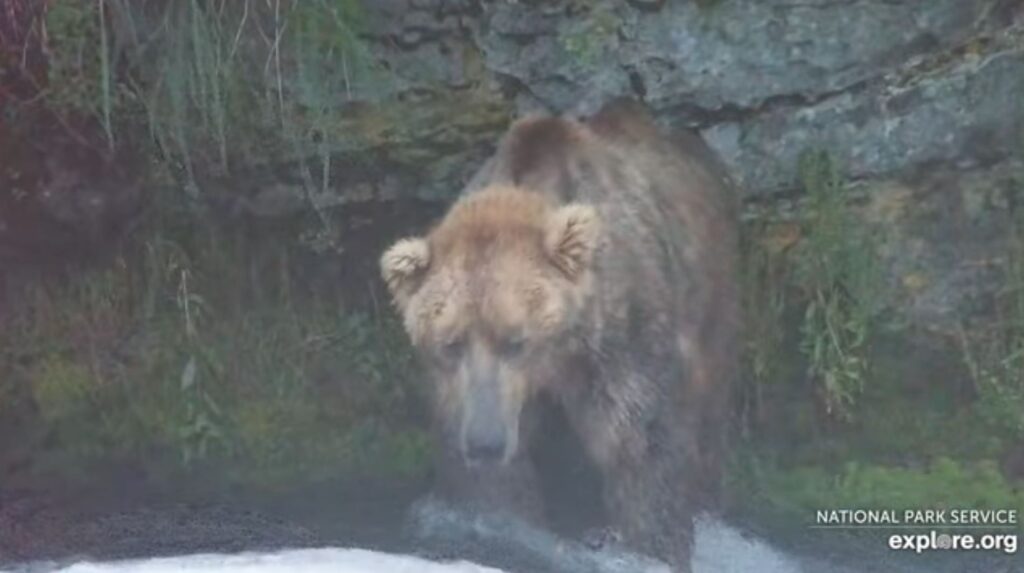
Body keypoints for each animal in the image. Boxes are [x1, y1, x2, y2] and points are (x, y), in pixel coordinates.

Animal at [378, 96, 737, 568]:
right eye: (451, 342)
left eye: (516, 340)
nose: (486, 442)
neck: (557, 362)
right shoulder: (461, 397)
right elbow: (498, 486)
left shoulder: (623, 342)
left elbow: (642, 450)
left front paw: (652, 546)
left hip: (710, 305)